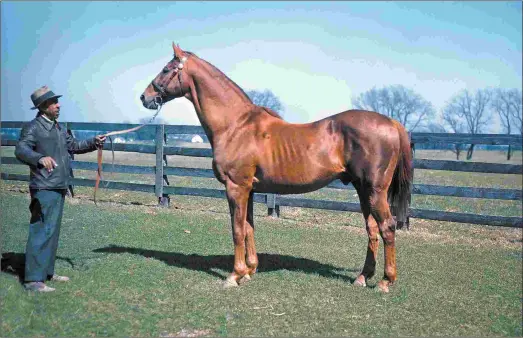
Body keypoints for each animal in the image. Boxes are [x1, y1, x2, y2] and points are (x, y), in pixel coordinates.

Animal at [140, 43, 414, 294]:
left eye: (166, 69)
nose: (145, 97)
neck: (235, 125)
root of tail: (392, 122)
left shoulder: (235, 187)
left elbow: (237, 229)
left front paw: (234, 275)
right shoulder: (249, 190)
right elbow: (249, 227)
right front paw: (249, 271)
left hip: (375, 190)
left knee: (387, 227)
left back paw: (385, 281)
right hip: (362, 190)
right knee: (372, 229)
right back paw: (362, 277)